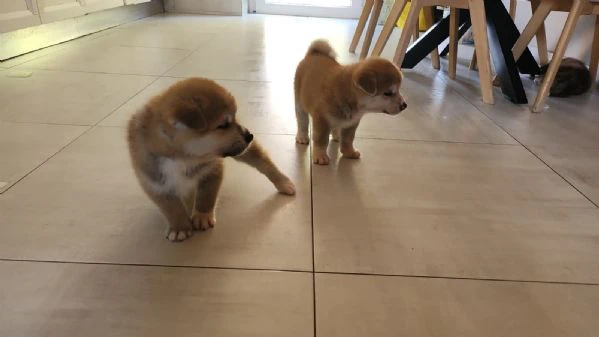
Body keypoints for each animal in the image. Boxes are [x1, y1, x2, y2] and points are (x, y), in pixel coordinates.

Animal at [127, 78, 296, 242]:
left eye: (232, 119)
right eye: (223, 125)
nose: (249, 135)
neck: (183, 157)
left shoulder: (211, 170)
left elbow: (206, 196)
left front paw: (202, 216)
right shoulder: (154, 181)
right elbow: (171, 208)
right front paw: (179, 227)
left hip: (245, 152)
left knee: (264, 163)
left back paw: (284, 182)